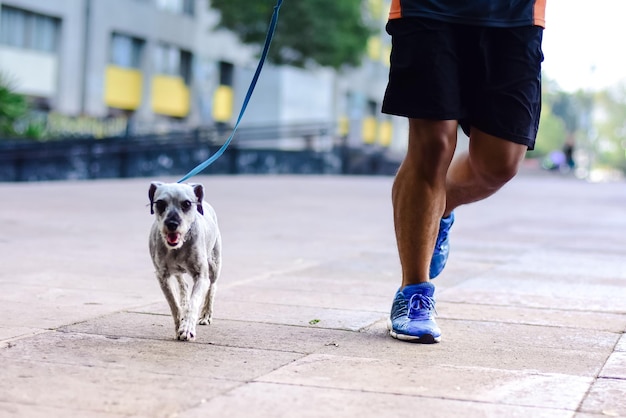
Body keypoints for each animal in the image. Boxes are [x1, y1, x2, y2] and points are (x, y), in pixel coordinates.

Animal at [147, 181, 221, 342]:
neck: (178, 247)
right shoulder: (162, 277)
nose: (172, 223)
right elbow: (174, 305)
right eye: (160, 203)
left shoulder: (201, 276)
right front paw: (179, 325)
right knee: (183, 285)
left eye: (187, 203)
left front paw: (187, 329)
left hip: (214, 265)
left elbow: (194, 303)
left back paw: (206, 314)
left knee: (212, 287)